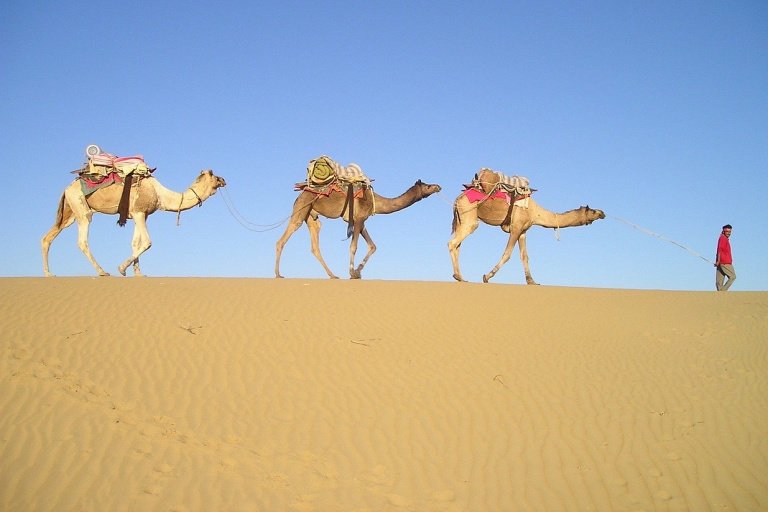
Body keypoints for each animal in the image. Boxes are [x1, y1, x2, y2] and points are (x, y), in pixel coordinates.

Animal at [42, 170, 226, 276]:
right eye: (214, 175)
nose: (224, 180)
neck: (160, 195)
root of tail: (66, 188)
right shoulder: (138, 212)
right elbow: (147, 242)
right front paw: (122, 269)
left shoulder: (142, 215)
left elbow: (135, 243)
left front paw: (138, 273)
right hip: (81, 208)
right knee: (82, 241)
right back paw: (102, 272)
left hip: (69, 212)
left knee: (47, 237)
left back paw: (48, 274)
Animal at [276, 178, 440, 278]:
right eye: (428, 186)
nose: (438, 186)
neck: (375, 202)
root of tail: (299, 194)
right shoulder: (359, 218)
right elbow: (353, 246)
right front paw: (352, 272)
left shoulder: (360, 221)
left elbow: (373, 246)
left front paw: (357, 272)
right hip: (302, 207)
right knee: (283, 238)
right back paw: (278, 274)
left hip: (311, 216)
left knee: (315, 244)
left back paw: (333, 275)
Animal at [448, 172, 604, 284]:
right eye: (593, 211)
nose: (603, 213)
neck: (535, 212)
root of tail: (458, 198)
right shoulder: (516, 228)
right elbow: (507, 254)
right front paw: (487, 276)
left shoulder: (523, 231)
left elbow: (525, 256)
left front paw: (532, 281)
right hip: (469, 218)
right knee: (453, 242)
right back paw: (458, 276)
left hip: (461, 220)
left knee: (457, 245)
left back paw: (460, 276)